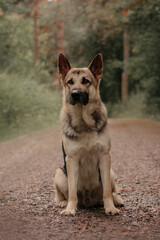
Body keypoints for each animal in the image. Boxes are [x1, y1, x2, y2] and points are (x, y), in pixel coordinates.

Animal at [53, 53, 124, 217]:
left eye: (85, 81)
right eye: (70, 82)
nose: (75, 94)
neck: (84, 123)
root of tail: (88, 201)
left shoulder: (104, 157)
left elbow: (107, 191)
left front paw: (110, 207)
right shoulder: (71, 160)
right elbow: (72, 192)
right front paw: (70, 209)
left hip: (111, 172)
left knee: (112, 191)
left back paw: (116, 200)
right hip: (59, 173)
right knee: (62, 194)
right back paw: (63, 202)